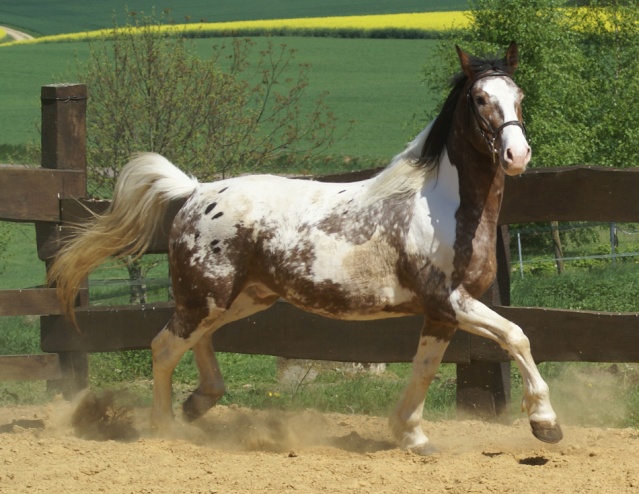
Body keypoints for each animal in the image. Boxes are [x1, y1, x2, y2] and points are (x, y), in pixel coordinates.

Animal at [48, 40, 564, 454]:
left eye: (518, 96)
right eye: (480, 98)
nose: (517, 155)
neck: (444, 207)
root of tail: (196, 191)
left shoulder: (440, 314)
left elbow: (424, 369)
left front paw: (412, 437)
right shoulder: (450, 300)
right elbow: (517, 335)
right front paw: (545, 424)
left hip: (241, 297)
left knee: (196, 339)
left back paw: (200, 401)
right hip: (208, 296)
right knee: (164, 345)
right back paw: (165, 427)